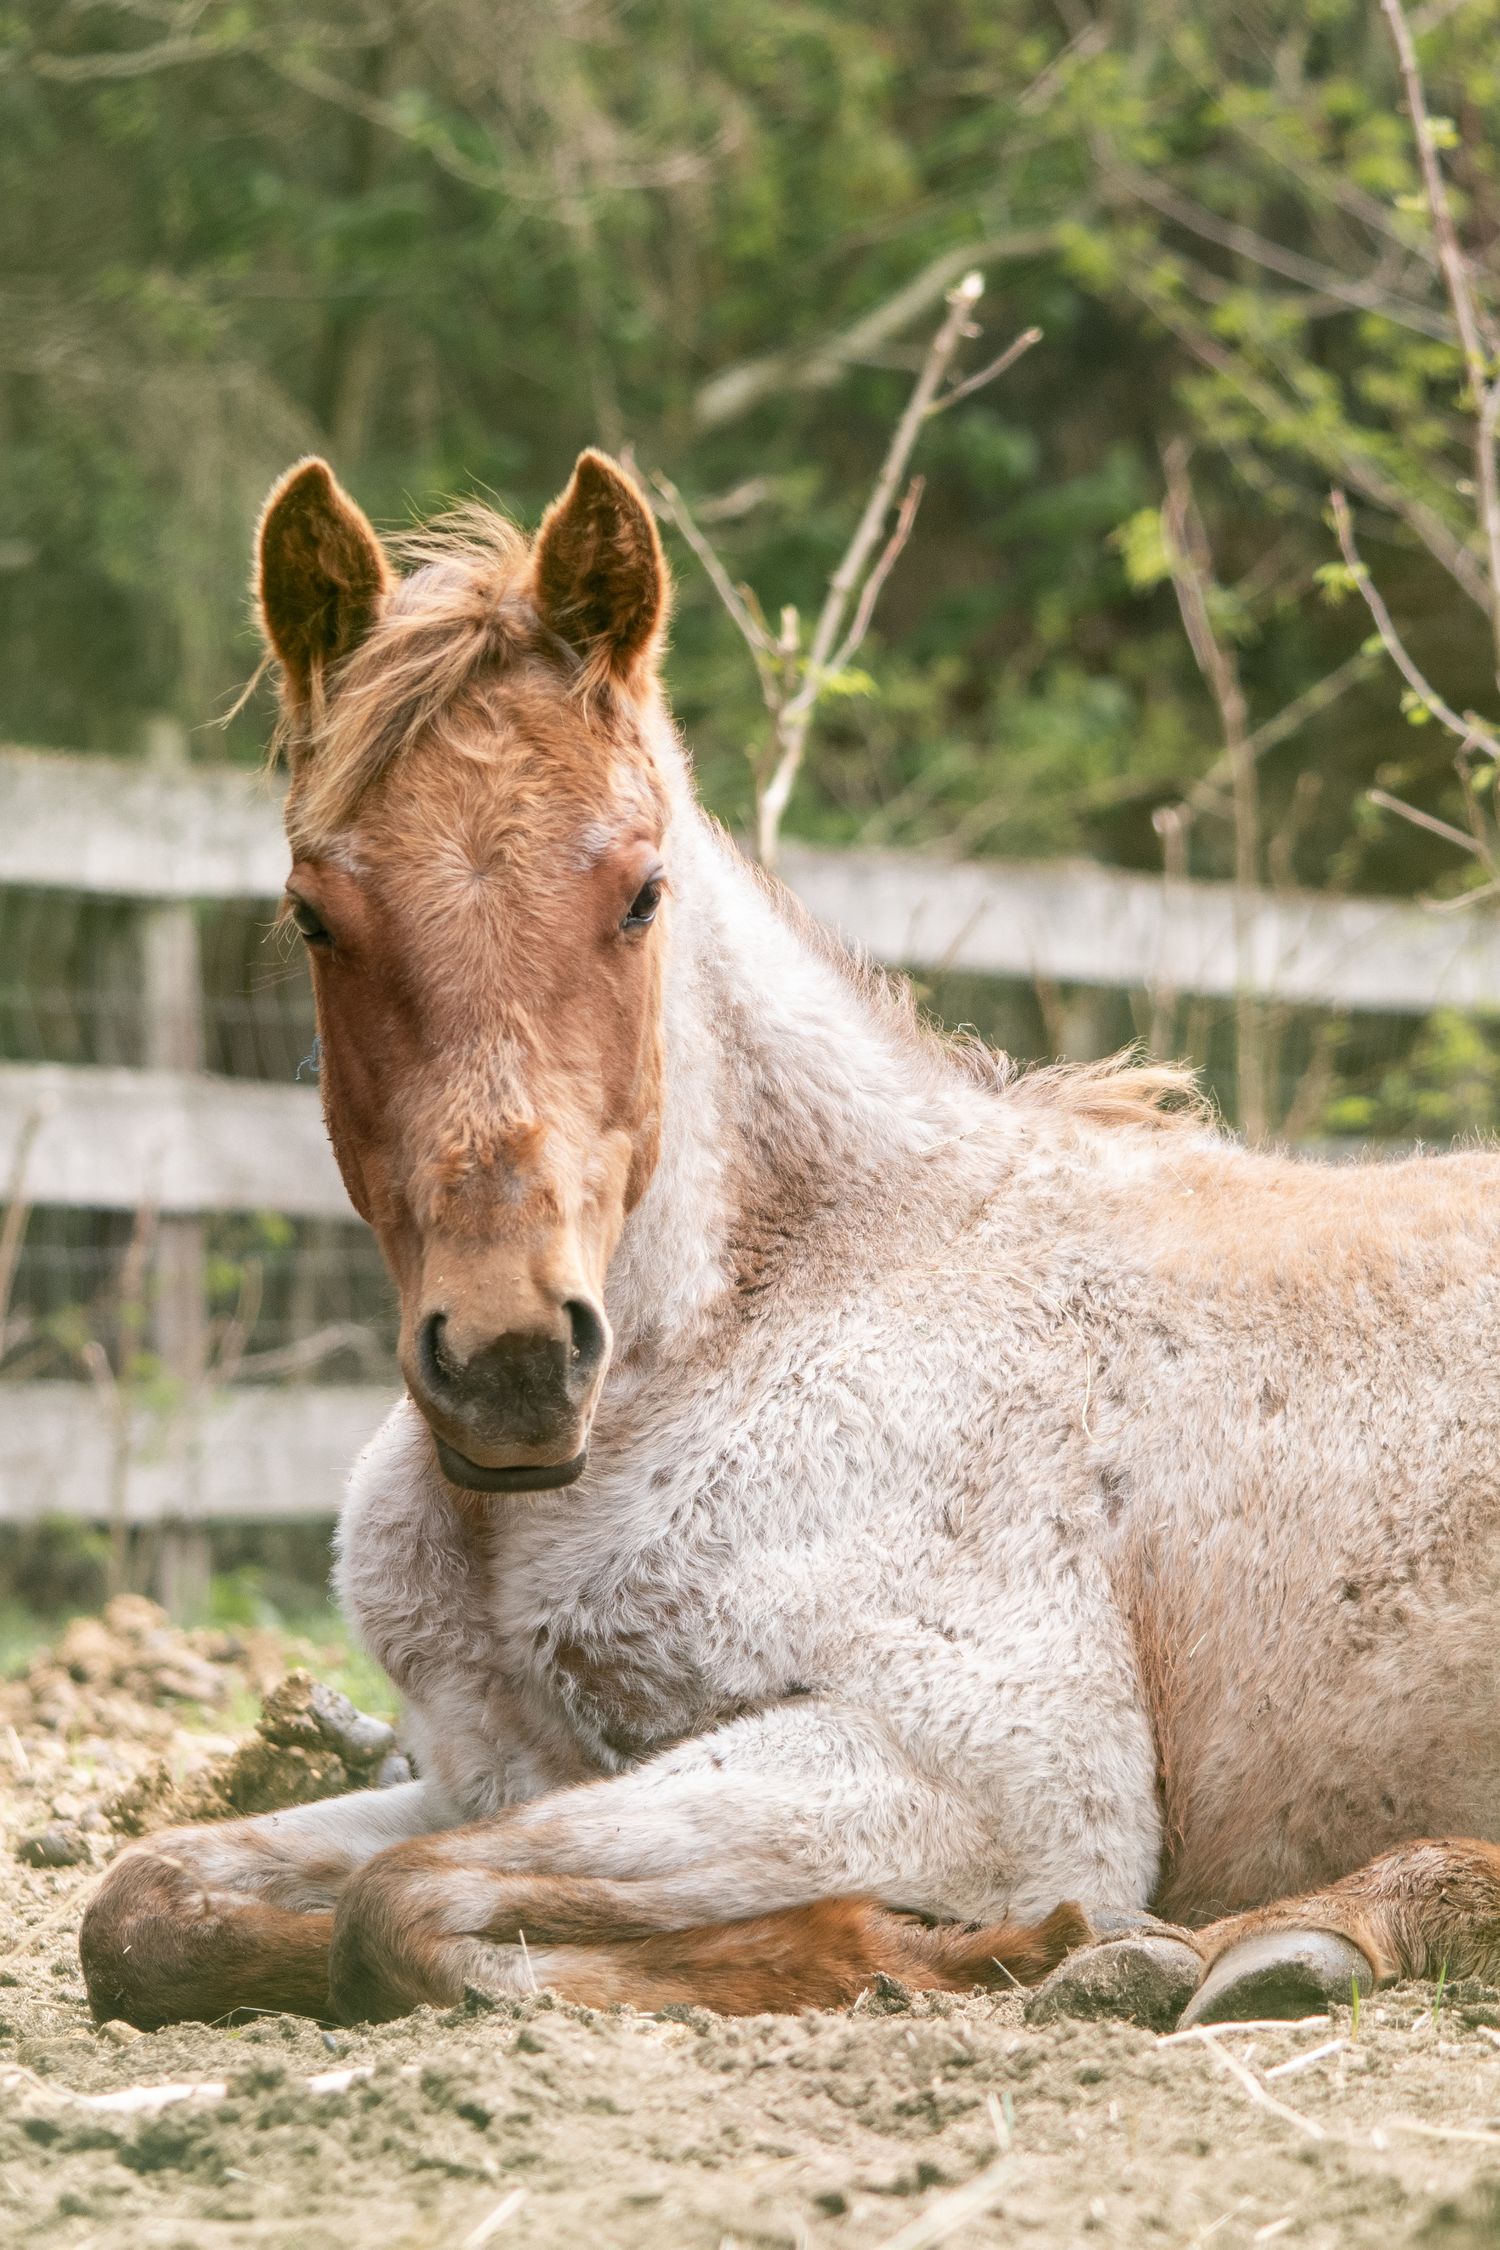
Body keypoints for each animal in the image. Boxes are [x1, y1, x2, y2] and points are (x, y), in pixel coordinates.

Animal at [81, 448, 1500, 2033]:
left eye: (641, 891)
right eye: (316, 912)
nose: (511, 1362)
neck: (772, 1313)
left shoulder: (997, 1776)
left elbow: (402, 1910)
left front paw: (972, 1951)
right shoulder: (486, 1765)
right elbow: (150, 1906)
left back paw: (1290, 1938)